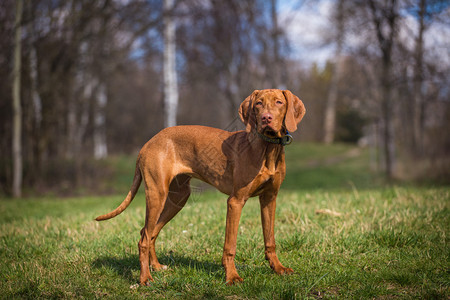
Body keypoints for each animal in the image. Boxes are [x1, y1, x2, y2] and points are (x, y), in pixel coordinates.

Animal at [95, 89, 306, 286]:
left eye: (279, 102)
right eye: (259, 103)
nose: (266, 118)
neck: (267, 149)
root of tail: (148, 143)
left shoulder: (270, 198)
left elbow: (270, 240)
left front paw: (278, 268)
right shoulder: (235, 201)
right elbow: (230, 245)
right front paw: (232, 276)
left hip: (178, 198)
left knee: (149, 232)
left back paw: (155, 266)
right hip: (157, 194)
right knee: (144, 238)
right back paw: (145, 278)